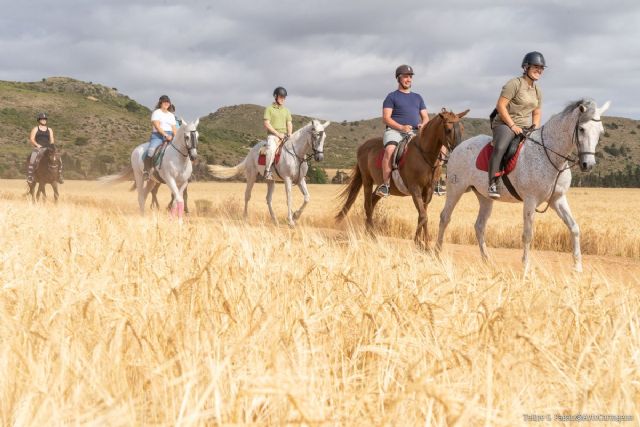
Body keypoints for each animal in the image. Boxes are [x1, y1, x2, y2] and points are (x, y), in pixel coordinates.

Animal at [336, 108, 470, 249]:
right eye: (448, 129)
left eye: (462, 128)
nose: (459, 150)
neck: (425, 155)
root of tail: (362, 146)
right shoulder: (415, 189)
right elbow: (423, 216)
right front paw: (423, 244)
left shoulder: (428, 191)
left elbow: (423, 215)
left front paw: (421, 242)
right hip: (367, 181)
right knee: (367, 205)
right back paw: (371, 235)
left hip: (379, 186)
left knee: (372, 202)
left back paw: (369, 232)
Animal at [436, 98, 608, 272]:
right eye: (581, 129)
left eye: (600, 132)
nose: (588, 165)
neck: (549, 154)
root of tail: (458, 147)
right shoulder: (530, 201)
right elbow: (527, 234)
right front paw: (526, 267)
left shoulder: (557, 199)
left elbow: (574, 228)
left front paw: (578, 267)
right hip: (455, 189)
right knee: (445, 217)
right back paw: (437, 254)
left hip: (485, 198)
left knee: (479, 226)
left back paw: (486, 260)